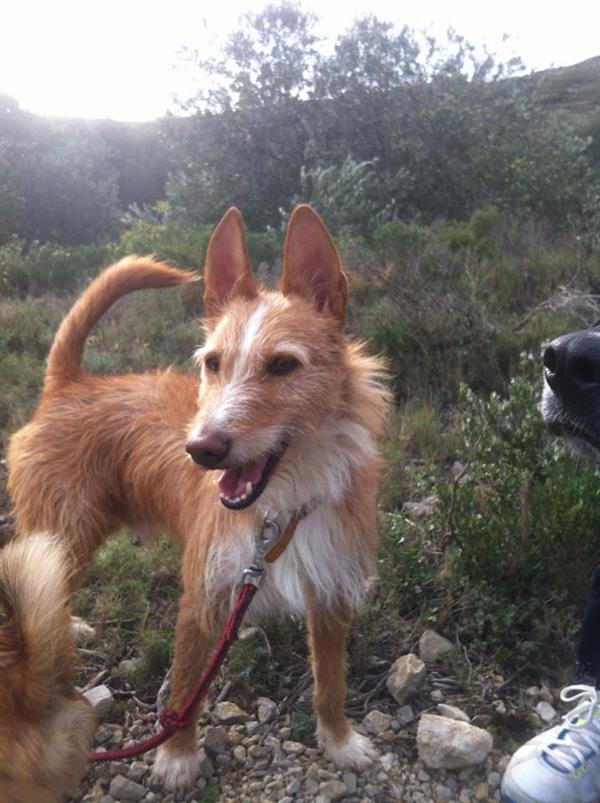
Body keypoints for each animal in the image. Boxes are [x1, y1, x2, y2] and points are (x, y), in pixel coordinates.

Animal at [7, 204, 392, 796]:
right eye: (212, 363)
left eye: (283, 365)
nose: (202, 450)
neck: (279, 509)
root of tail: (69, 384)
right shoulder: (201, 600)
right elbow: (187, 689)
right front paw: (178, 758)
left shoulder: (331, 595)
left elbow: (332, 681)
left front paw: (340, 741)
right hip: (64, 534)